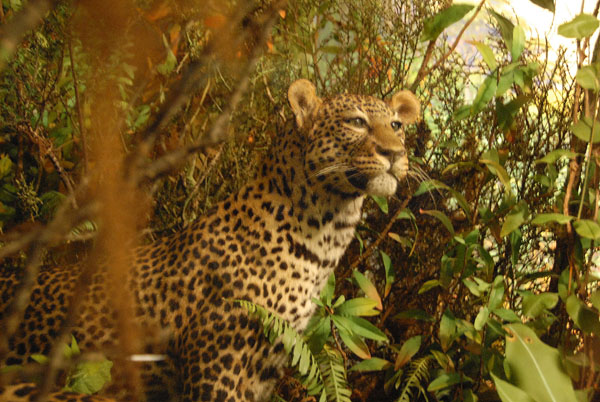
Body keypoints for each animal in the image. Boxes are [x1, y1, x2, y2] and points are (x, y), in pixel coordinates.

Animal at [0, 79, 420, 402]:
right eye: (357, 122)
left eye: (397, 125)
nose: (395, 153)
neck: (325, 233)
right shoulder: (218, 370)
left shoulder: (265, 369)